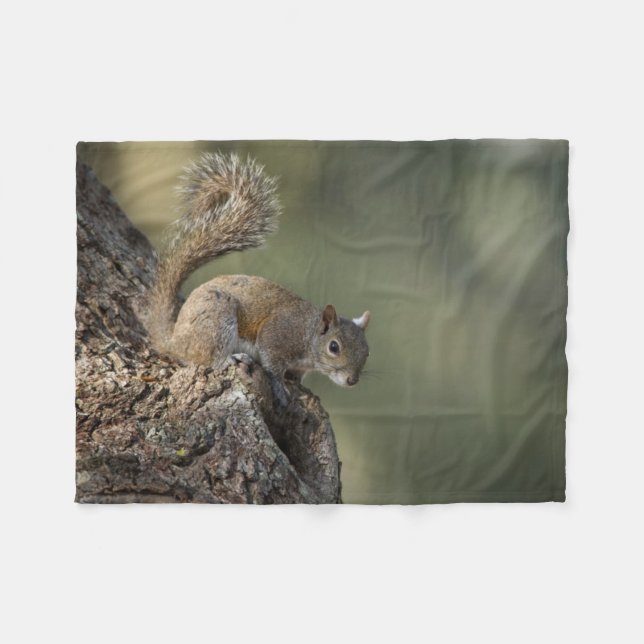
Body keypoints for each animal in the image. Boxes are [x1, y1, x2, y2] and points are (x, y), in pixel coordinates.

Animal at [146, 152, 370, 406]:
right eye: (334, 347)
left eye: (367, 350)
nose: (352, 380)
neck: (309, 333)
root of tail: (174, 340)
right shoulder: (277, 335)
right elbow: (272, 363)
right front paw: (281, 386)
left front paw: (301, 387)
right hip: (217, 320)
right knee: (206, 358)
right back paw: (230, 358)